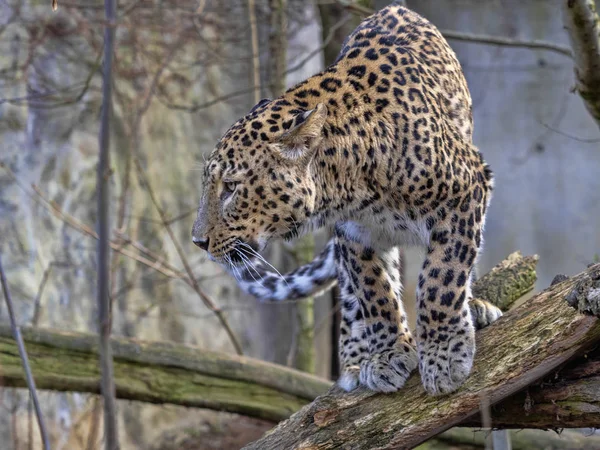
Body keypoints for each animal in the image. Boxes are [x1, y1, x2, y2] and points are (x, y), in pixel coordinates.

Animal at [192, 2, 496, 394]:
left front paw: (444, 353)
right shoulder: (353, 234)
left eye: (230, 187)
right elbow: (374, 291)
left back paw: (475, 307)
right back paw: (354, 359)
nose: (198, 241)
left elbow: (441, 277)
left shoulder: (467, 189)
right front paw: (388, 355)